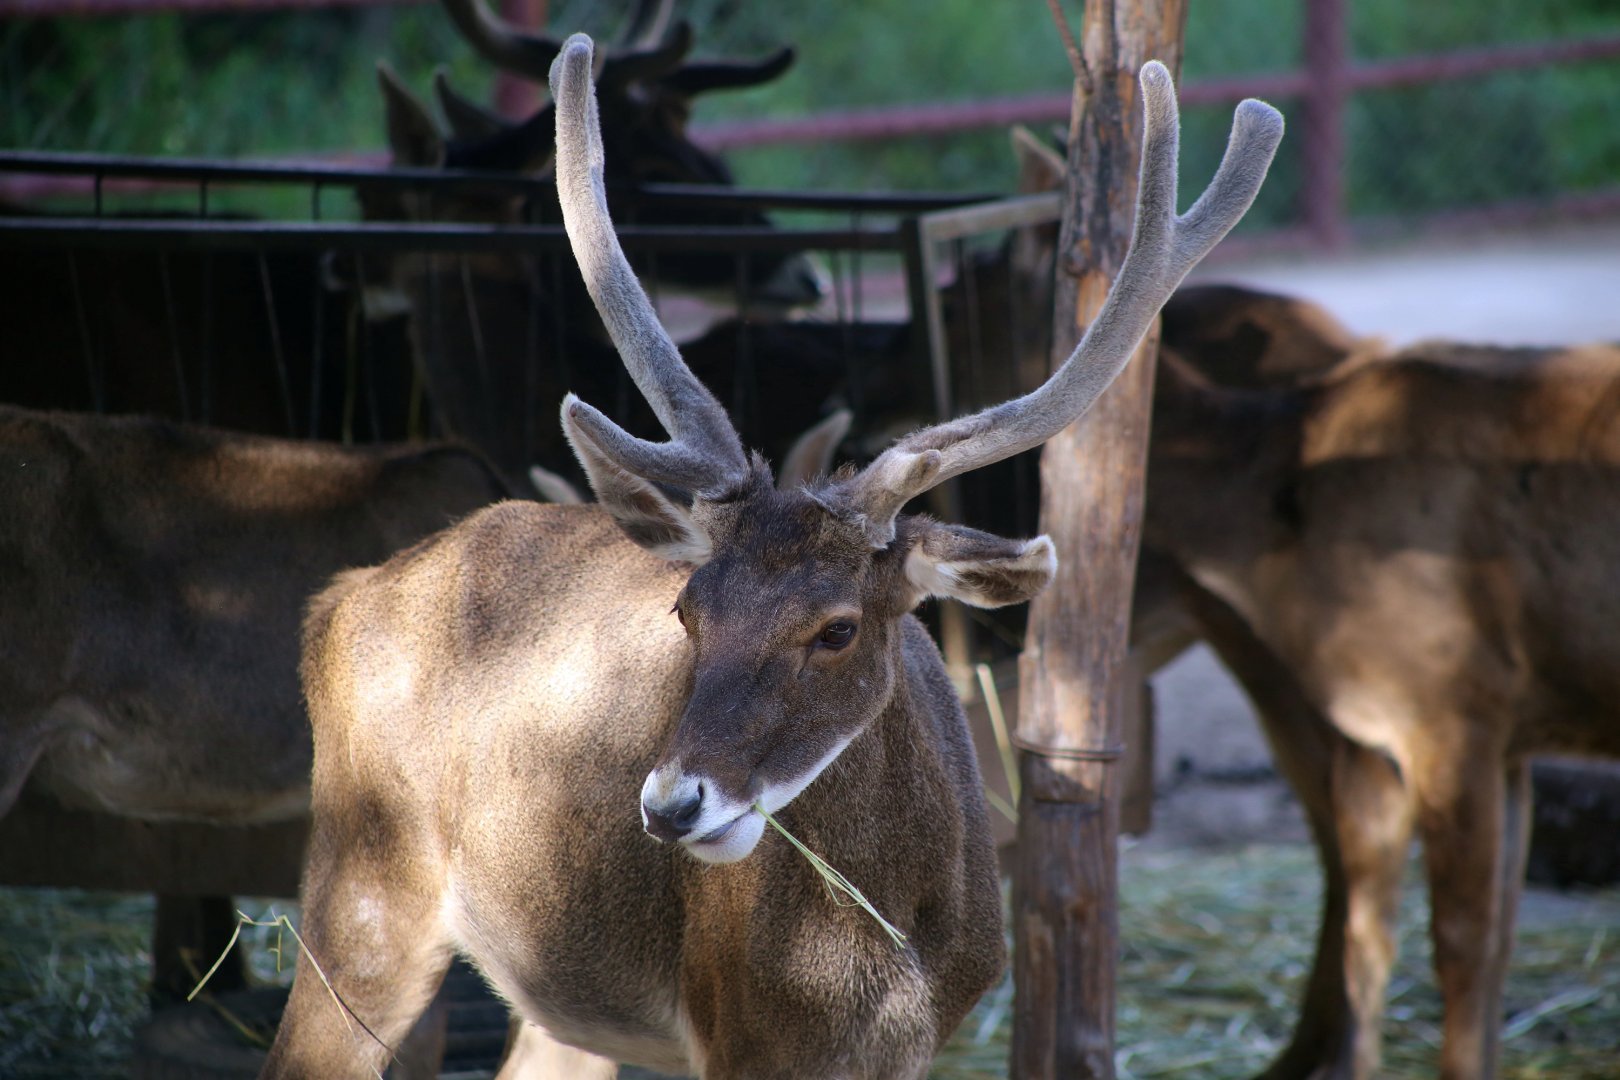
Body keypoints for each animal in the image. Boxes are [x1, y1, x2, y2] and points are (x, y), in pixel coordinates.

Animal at [258, 34, 1281, 1080]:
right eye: (687, 610)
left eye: (836, 629)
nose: (672, 806)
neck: (875, 976)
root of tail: (338, 599)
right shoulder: (737, 1033)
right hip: (359, 880)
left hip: (547, 983)